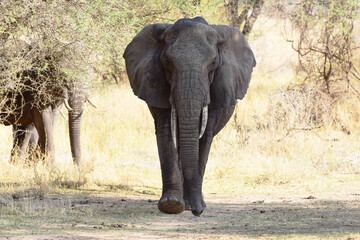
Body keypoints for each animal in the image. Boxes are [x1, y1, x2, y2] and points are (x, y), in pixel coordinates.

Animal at [124, 16, 256, 216]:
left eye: (213, 63)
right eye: (167, 62)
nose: (197, 211)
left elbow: (205, 136)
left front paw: (194, 204)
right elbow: (166, 131)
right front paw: (171, 204)